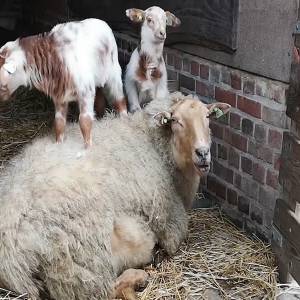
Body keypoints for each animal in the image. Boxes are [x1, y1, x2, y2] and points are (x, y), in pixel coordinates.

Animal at [0, 18, 126, 147]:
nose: (1, 101)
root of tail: (101, 22)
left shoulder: (85, 93)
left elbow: (84, 121)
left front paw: (87, 147)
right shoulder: (59, 94)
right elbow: (59, 122)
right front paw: (58, 143)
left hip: (113, 73)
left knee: (120, 100)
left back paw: (124, 120)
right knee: (100, 96)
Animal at [0, 92, 231, 298]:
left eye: (208, 117)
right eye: (175, 121)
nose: (202, 153)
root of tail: (11, 259)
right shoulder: (169, 221)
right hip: (82, 262)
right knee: (104, 290)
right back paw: (138, 276)